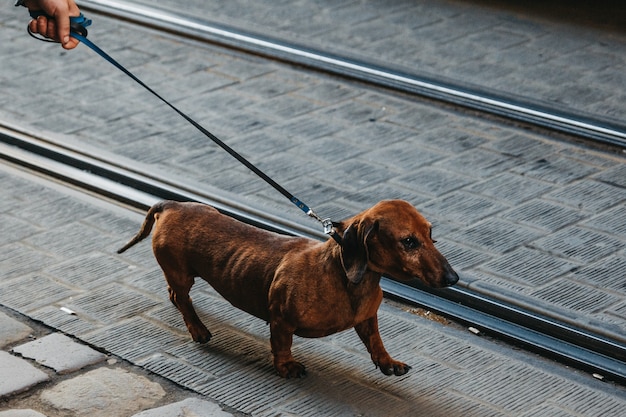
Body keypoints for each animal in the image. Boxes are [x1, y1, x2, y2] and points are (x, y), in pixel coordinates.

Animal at [118, 198, 458, 376]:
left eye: (431, 235)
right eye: (408, 242)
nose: (453, 279)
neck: (343, 276)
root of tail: (172, 205)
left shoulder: (367, 319)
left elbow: (376, 342)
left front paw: (388, 363)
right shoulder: (281, 320)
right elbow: (282, 345)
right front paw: (287, 367)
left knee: (176, 296)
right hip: (180, 273)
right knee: (181, 297)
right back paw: (198, 329)